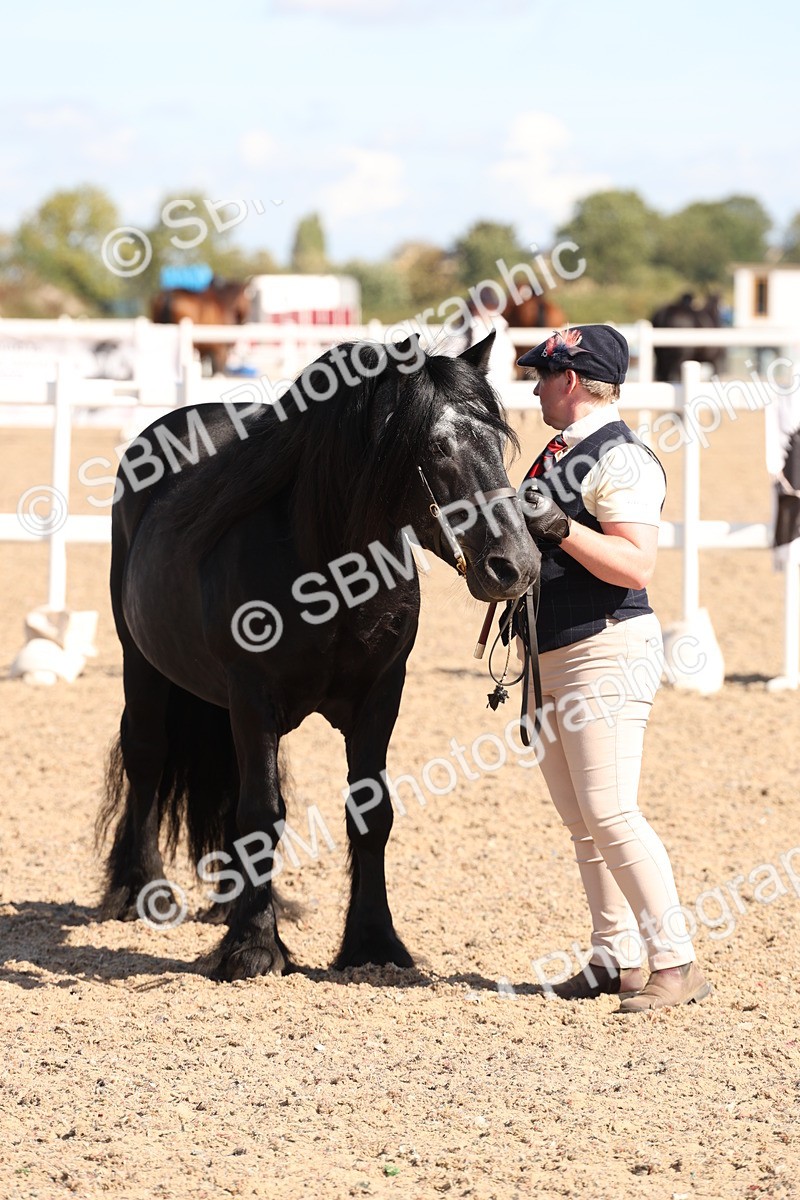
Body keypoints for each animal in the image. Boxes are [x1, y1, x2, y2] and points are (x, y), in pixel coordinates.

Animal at [96, 331, 540, 981]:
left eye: (497, 441)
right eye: (437, 445)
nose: (518, 565)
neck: (327, 575)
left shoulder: (381, 695)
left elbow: (370, 813)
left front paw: (374, 942)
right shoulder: (251, 696)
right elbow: (261, 813)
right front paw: (253, 946)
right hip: (143, 666)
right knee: (147, 755)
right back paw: (139, 889)